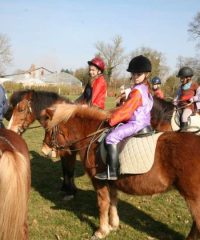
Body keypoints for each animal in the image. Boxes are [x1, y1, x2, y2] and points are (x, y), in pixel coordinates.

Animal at [43, 102, 200, 239]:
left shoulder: (99, 182)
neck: (93, 138)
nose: (44, 151)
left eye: (48, 130)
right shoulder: (112, 181)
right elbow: (113, 201)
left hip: (193, 198)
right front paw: (113, 224)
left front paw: (102, 231)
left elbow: (103, 204)